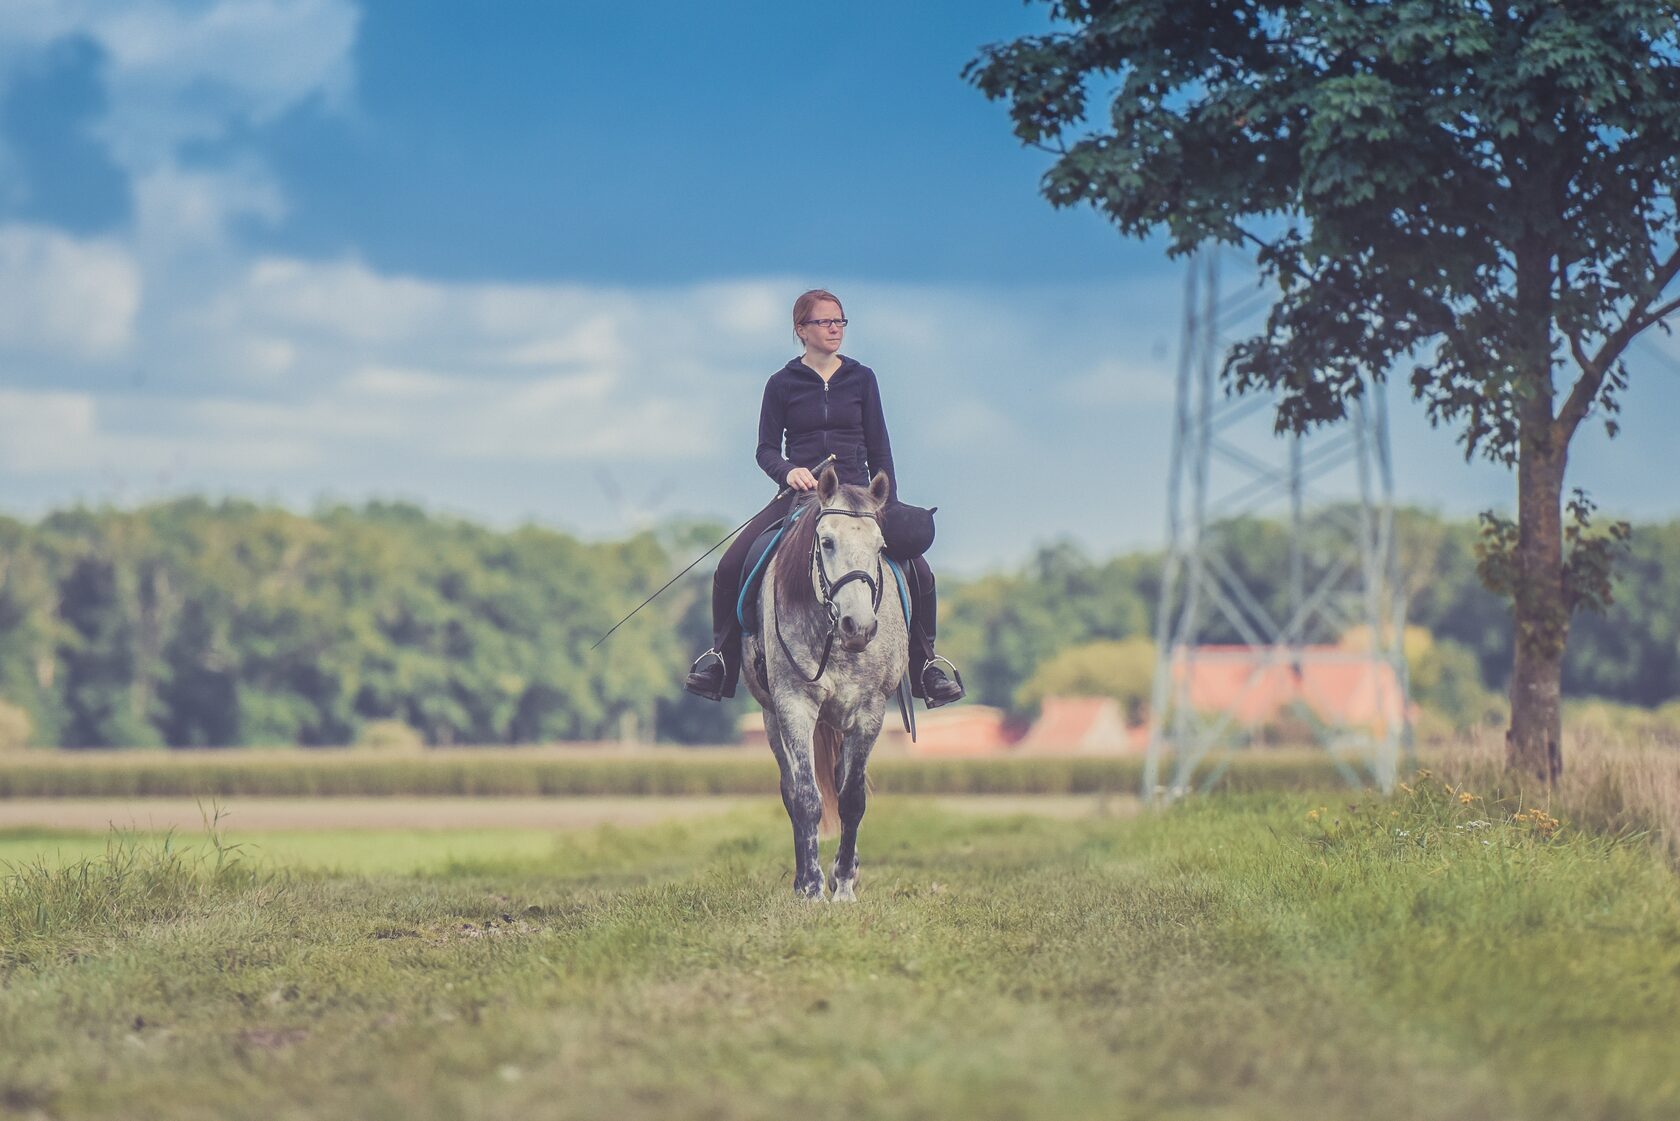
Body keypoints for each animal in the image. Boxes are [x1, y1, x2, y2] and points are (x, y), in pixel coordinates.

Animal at [745, 463, 913, 900]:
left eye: (879, 546)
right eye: (827, 542)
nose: (860, 626)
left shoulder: (870, 710)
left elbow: (851, 798)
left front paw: (844, 887)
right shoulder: (794, 705)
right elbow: (806, 796)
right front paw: (811, 887)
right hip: (772, 719)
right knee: (791, 790)